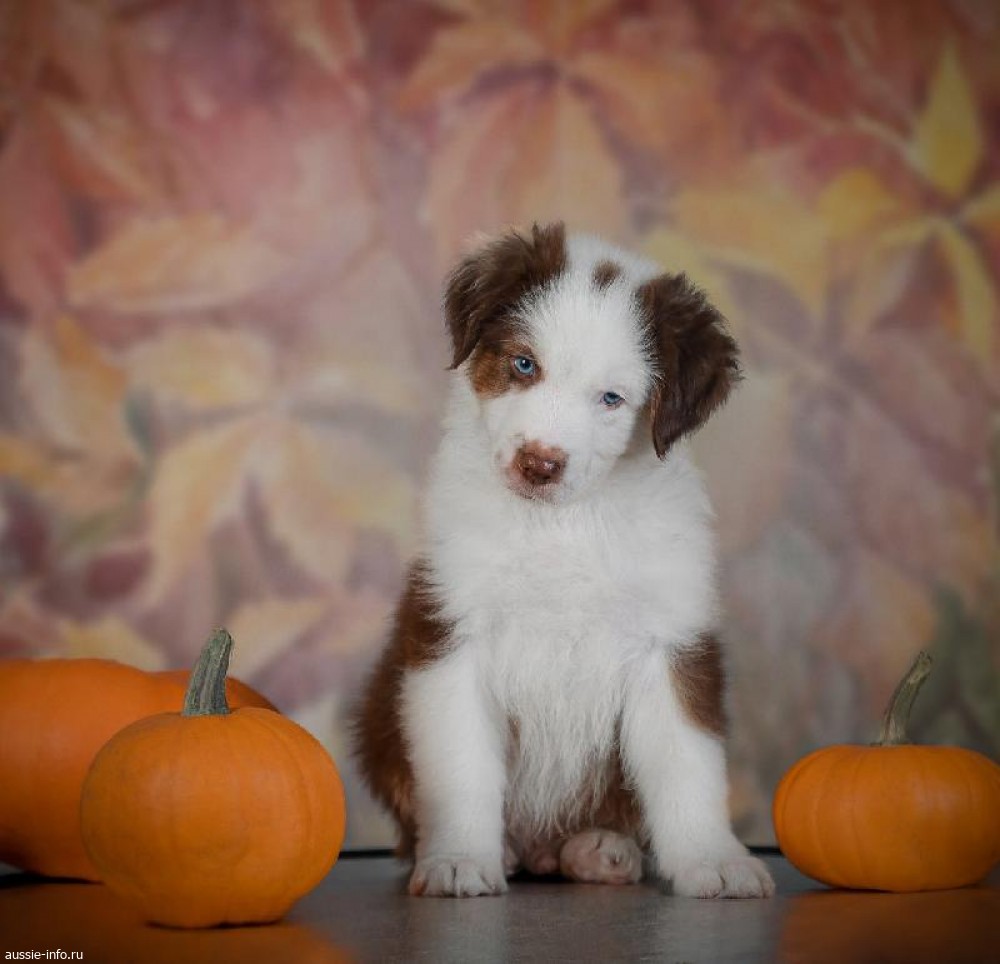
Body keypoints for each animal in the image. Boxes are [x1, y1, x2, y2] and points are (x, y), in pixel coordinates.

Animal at [353, 222, 775, 899]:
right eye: (525, 364)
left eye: (611, 398)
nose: (540, 463)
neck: (562, 526)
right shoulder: (451, 628)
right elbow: (460, 764)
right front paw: (458, 859)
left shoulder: (670, 637)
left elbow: (688, 763)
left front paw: (714, 859)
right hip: (376, 718)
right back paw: (502, 851)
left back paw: (601, 850)